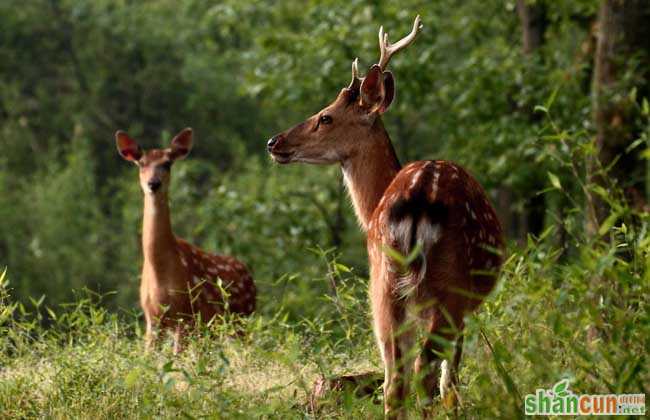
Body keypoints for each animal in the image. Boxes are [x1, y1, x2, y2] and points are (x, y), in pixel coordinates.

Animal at [117, 128, 254, 354]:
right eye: (141, 163)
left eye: (167, 163)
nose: (153, 184)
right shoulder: (152, 320)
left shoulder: (187, 315)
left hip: (241, 319)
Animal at [266, 15, 504, 416]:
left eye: (325, 117)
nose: (274, 142)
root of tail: (418, 200)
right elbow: (452, 380)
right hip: (443, 288)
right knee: (425, 374)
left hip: (383, 283)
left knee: (396, 380)